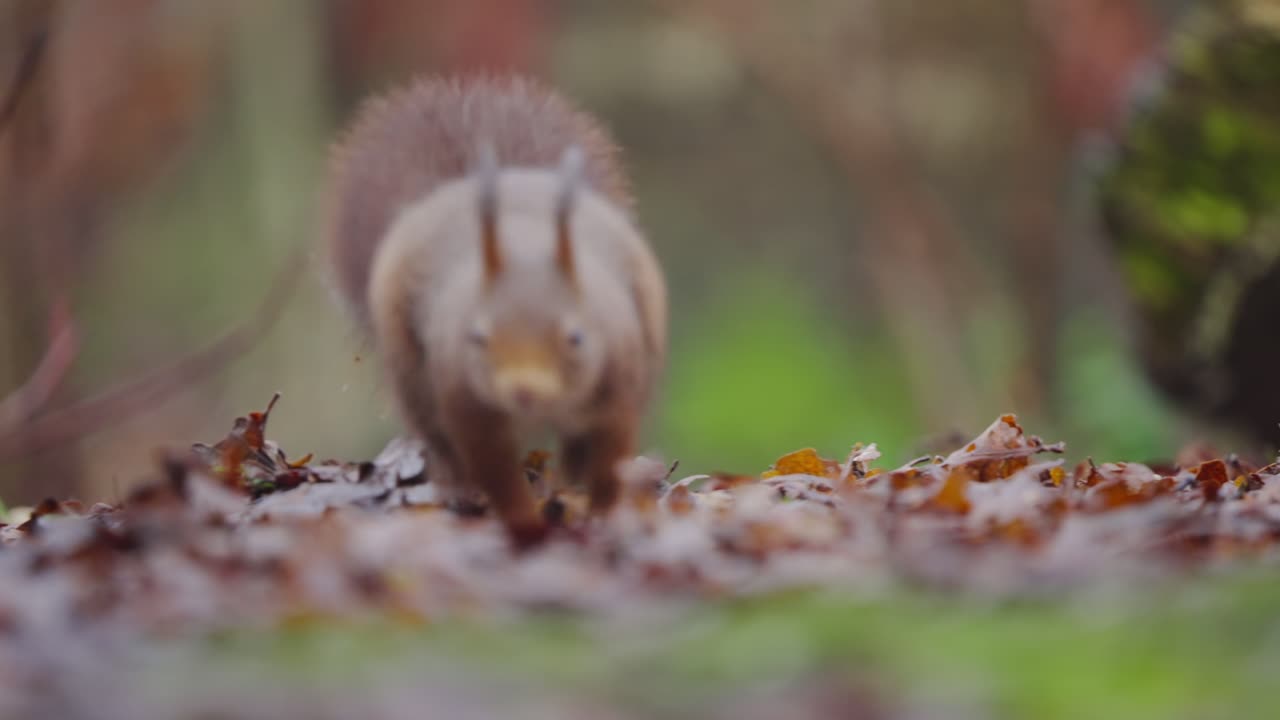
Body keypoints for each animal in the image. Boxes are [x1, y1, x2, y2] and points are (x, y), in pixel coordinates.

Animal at [323, 76, 667, 546]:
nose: (524, 389)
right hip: (414, 373)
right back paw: (461, 489)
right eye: (477, 338)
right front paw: (524, 521)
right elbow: (492, 462)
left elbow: (606, 454)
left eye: (576, 337)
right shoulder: (465, 398)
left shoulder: (618, 382)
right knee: (440, 437)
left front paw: (598, 512)